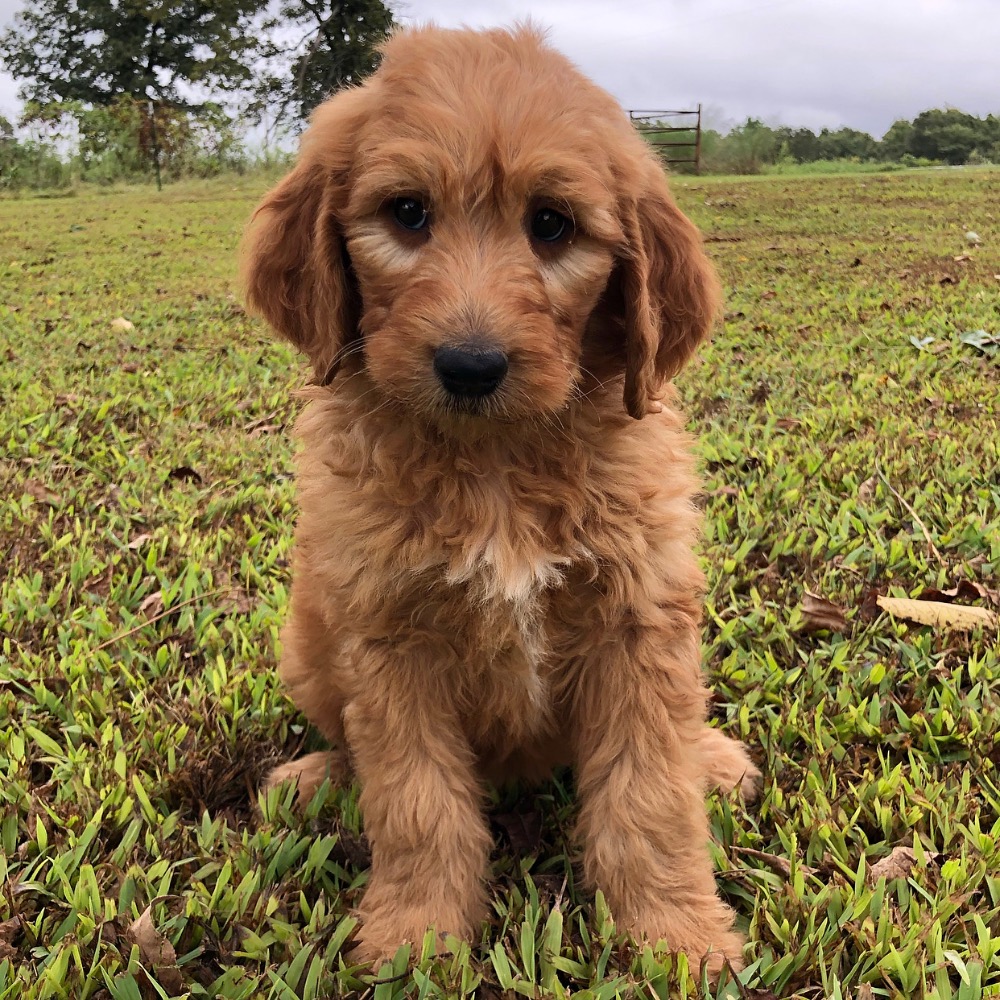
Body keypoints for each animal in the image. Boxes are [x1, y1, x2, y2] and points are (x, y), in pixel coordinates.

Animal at [244, 23, 756, 976]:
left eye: (551, 225)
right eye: (408, 213)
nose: (471, 365)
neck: (495, 466)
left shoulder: (639, 617)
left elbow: (651, 796)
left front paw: (677, 936)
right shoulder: (389, 636)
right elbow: (416, 802)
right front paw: (415, 937)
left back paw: (712, 758)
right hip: (307, 642)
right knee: (349, 746)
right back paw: (315, 780)